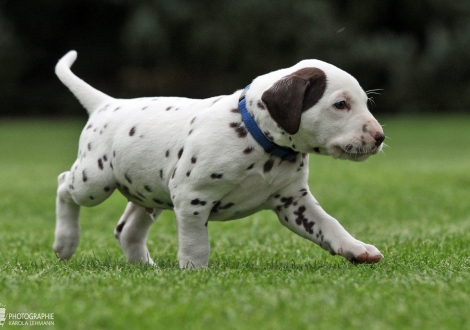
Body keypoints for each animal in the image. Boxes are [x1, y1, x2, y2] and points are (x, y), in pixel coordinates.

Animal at [54, 51, 386, 268]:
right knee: (63, 186)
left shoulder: (294, 202)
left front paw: (356, 248)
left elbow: (329, 225)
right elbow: (196, 242)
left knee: (127, 230)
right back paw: (65, 242)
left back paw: (146, 266)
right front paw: (195, 272)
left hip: (149, 192)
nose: (380, 136)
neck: (259, 139)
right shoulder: (192, 197)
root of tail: (107, 104)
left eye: (365, 102)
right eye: (340, 104)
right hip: (94, 181)